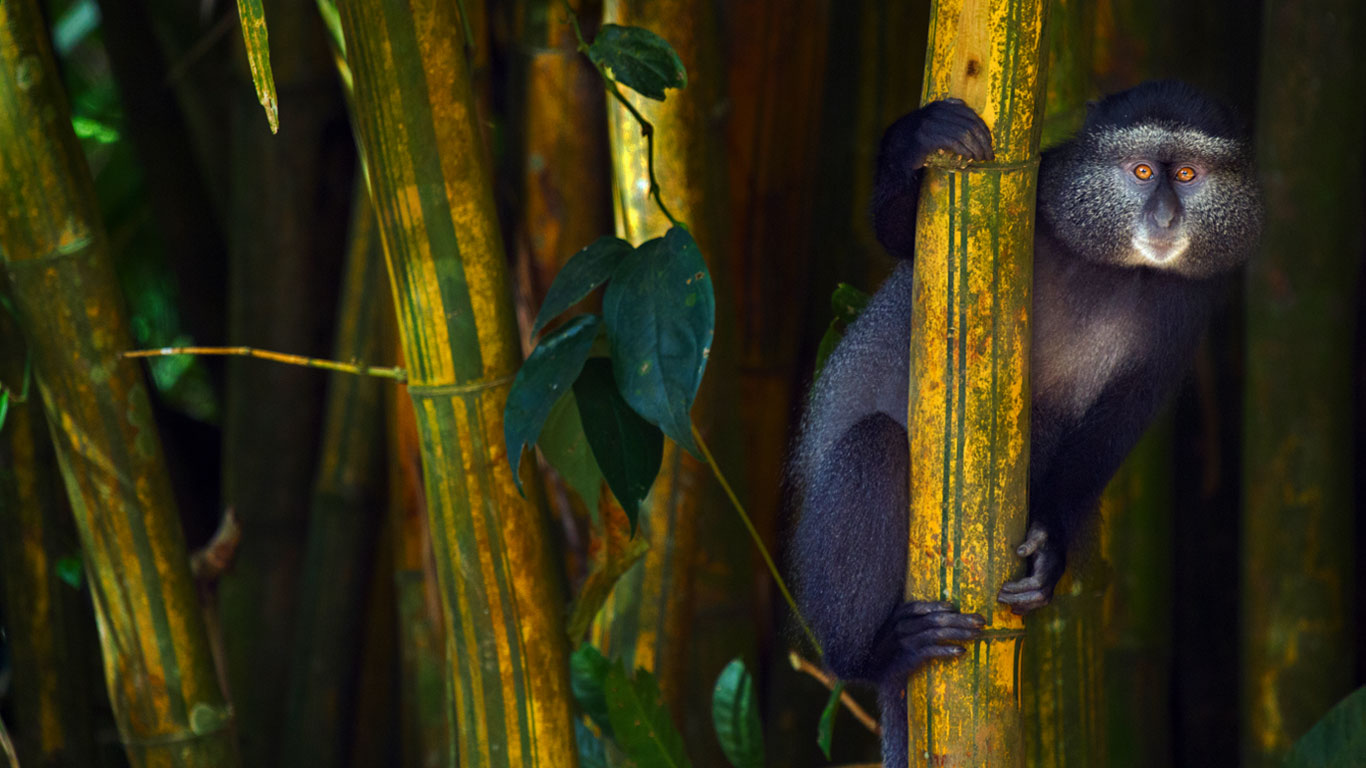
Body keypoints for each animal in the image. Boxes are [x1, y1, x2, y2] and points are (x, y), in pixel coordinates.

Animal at [788, 81, 1261, 767]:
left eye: (1189, 176)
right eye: (1142, 173)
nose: (1166, 218)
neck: (1116, 269)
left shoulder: (1188, 308)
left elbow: (1119, 420)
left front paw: (1051, 546)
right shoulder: (1031, 204)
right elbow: (908, 237)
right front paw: (916, 141)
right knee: (872, 447)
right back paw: (874, 657)